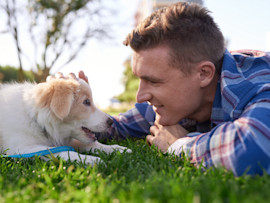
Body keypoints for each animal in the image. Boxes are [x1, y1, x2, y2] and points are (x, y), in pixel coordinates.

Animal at [0, 77, 131, 165]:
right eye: (86, 102)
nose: (111, 121)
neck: (35, 118)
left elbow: (91, 144)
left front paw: (117, 149)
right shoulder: (20, 148)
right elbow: (58, 151)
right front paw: (90, 159)